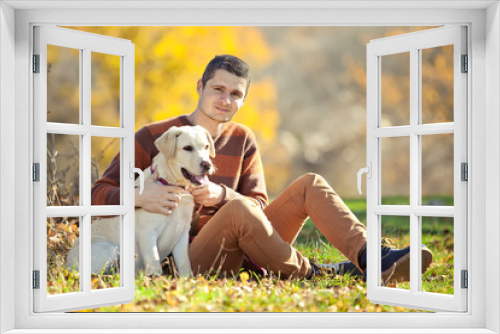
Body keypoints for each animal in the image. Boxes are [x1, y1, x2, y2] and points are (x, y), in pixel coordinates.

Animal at [65, 125, 215, 276]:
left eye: (206, 146)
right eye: (187, 148)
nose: (207, 165)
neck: (174, 185)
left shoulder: (182, 234)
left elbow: (185, 265)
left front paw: (188, 280)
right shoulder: (147, 233)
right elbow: (154, 264)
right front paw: (155, 279)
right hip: (110, 249)